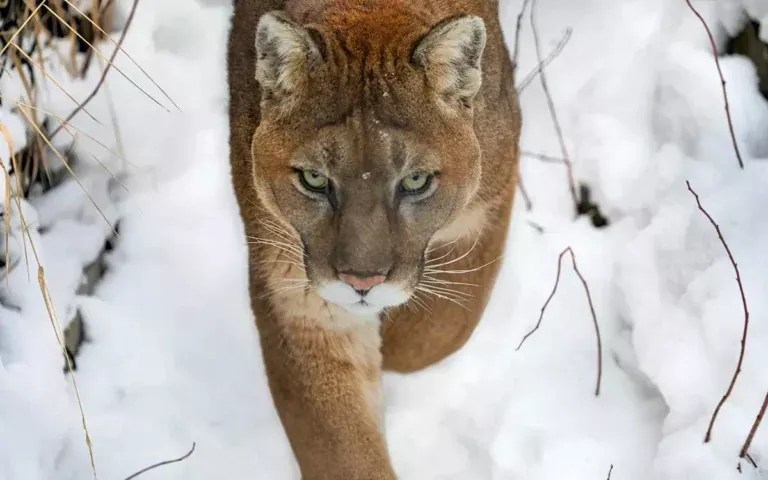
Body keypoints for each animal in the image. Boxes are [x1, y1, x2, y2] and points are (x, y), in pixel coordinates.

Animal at [227, 0, 521, 477]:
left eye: (416, 181)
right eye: (314, 179)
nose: (361, 283)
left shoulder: (486, 205)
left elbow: (437, 332)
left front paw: (393, 342)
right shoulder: (300, 295)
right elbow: (342, 450)